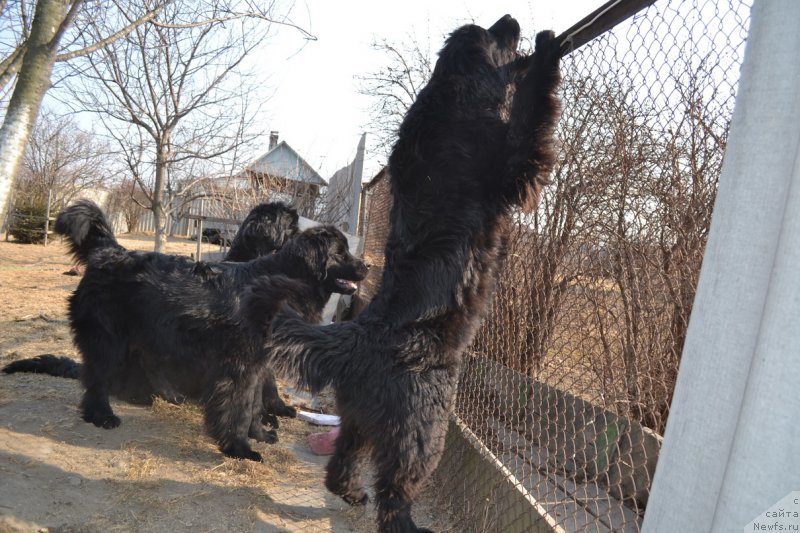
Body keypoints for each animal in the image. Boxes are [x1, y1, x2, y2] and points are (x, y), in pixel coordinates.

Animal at [20, 202, 368, 460]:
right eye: (340, 253)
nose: (368, 266)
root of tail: (111, 253)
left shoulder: (257, 367)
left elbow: (254, 406)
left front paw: (259, 434)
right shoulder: (239, 368)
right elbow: (240, 408)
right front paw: (239, 448)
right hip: (109, 340)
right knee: (96, 378)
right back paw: (101, 415)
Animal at [260, 14, 560, 528]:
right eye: (494, 35)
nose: (511, 19)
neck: (449, 98)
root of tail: (357, 337)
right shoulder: (516, 165)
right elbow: (534, 116)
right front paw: (546, 52)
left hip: (359, 416)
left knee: (344, 460)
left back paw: (351, 494)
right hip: (424, 429)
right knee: (395, 489)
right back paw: (402, 520)